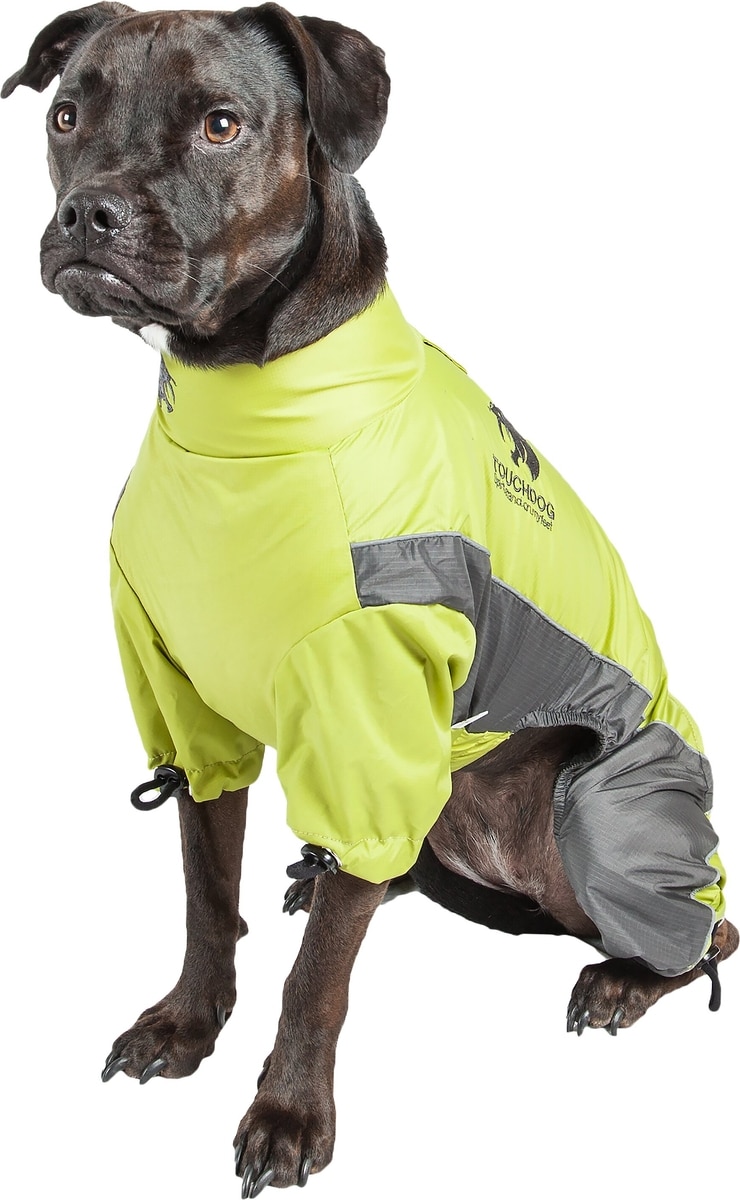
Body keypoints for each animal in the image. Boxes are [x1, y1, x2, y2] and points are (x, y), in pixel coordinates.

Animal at [4, 4, 737, 1196]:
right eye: (67, 116)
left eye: (222, 123)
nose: (86, 211)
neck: (244, 418)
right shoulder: (191, 715)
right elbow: (206, 895)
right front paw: (188, 1024)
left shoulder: (365, 719)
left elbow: (318, 980)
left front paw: (288, 1113)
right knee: (382, 871)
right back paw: (325, 879)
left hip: (590, 808)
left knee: (705, 932)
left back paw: (622, 980)